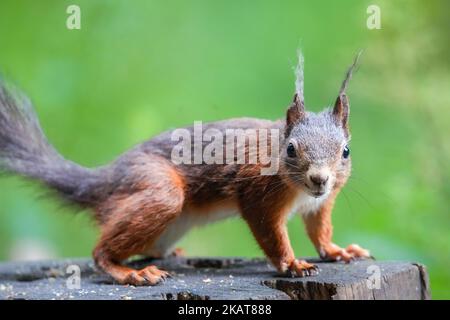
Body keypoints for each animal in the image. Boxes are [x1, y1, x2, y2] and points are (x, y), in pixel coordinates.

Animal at [0, 52, 370, 284]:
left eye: (346, 151)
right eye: (291, 149)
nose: (319, 179)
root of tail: (103, 179)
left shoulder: (321, 203)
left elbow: (319, 229)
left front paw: (337, 251)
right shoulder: (256, 191)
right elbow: (270, 233)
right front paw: (291, 263)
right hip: (157, 189)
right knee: (100, 252)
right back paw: (130, 272)